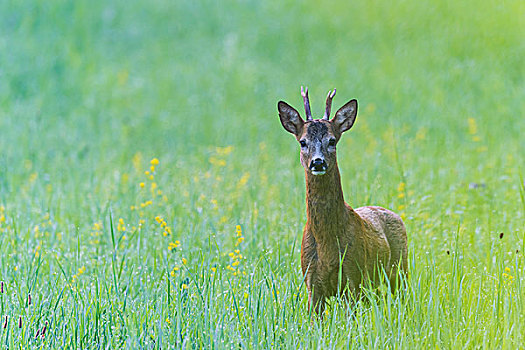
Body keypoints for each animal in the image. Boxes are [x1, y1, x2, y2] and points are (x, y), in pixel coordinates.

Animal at [276, 87, 408, 314]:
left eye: (332, 141)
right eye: (303, 142)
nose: (318, 162)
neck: (327, 243)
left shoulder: (352, 276)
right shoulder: (311, 282)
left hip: (400, 269)